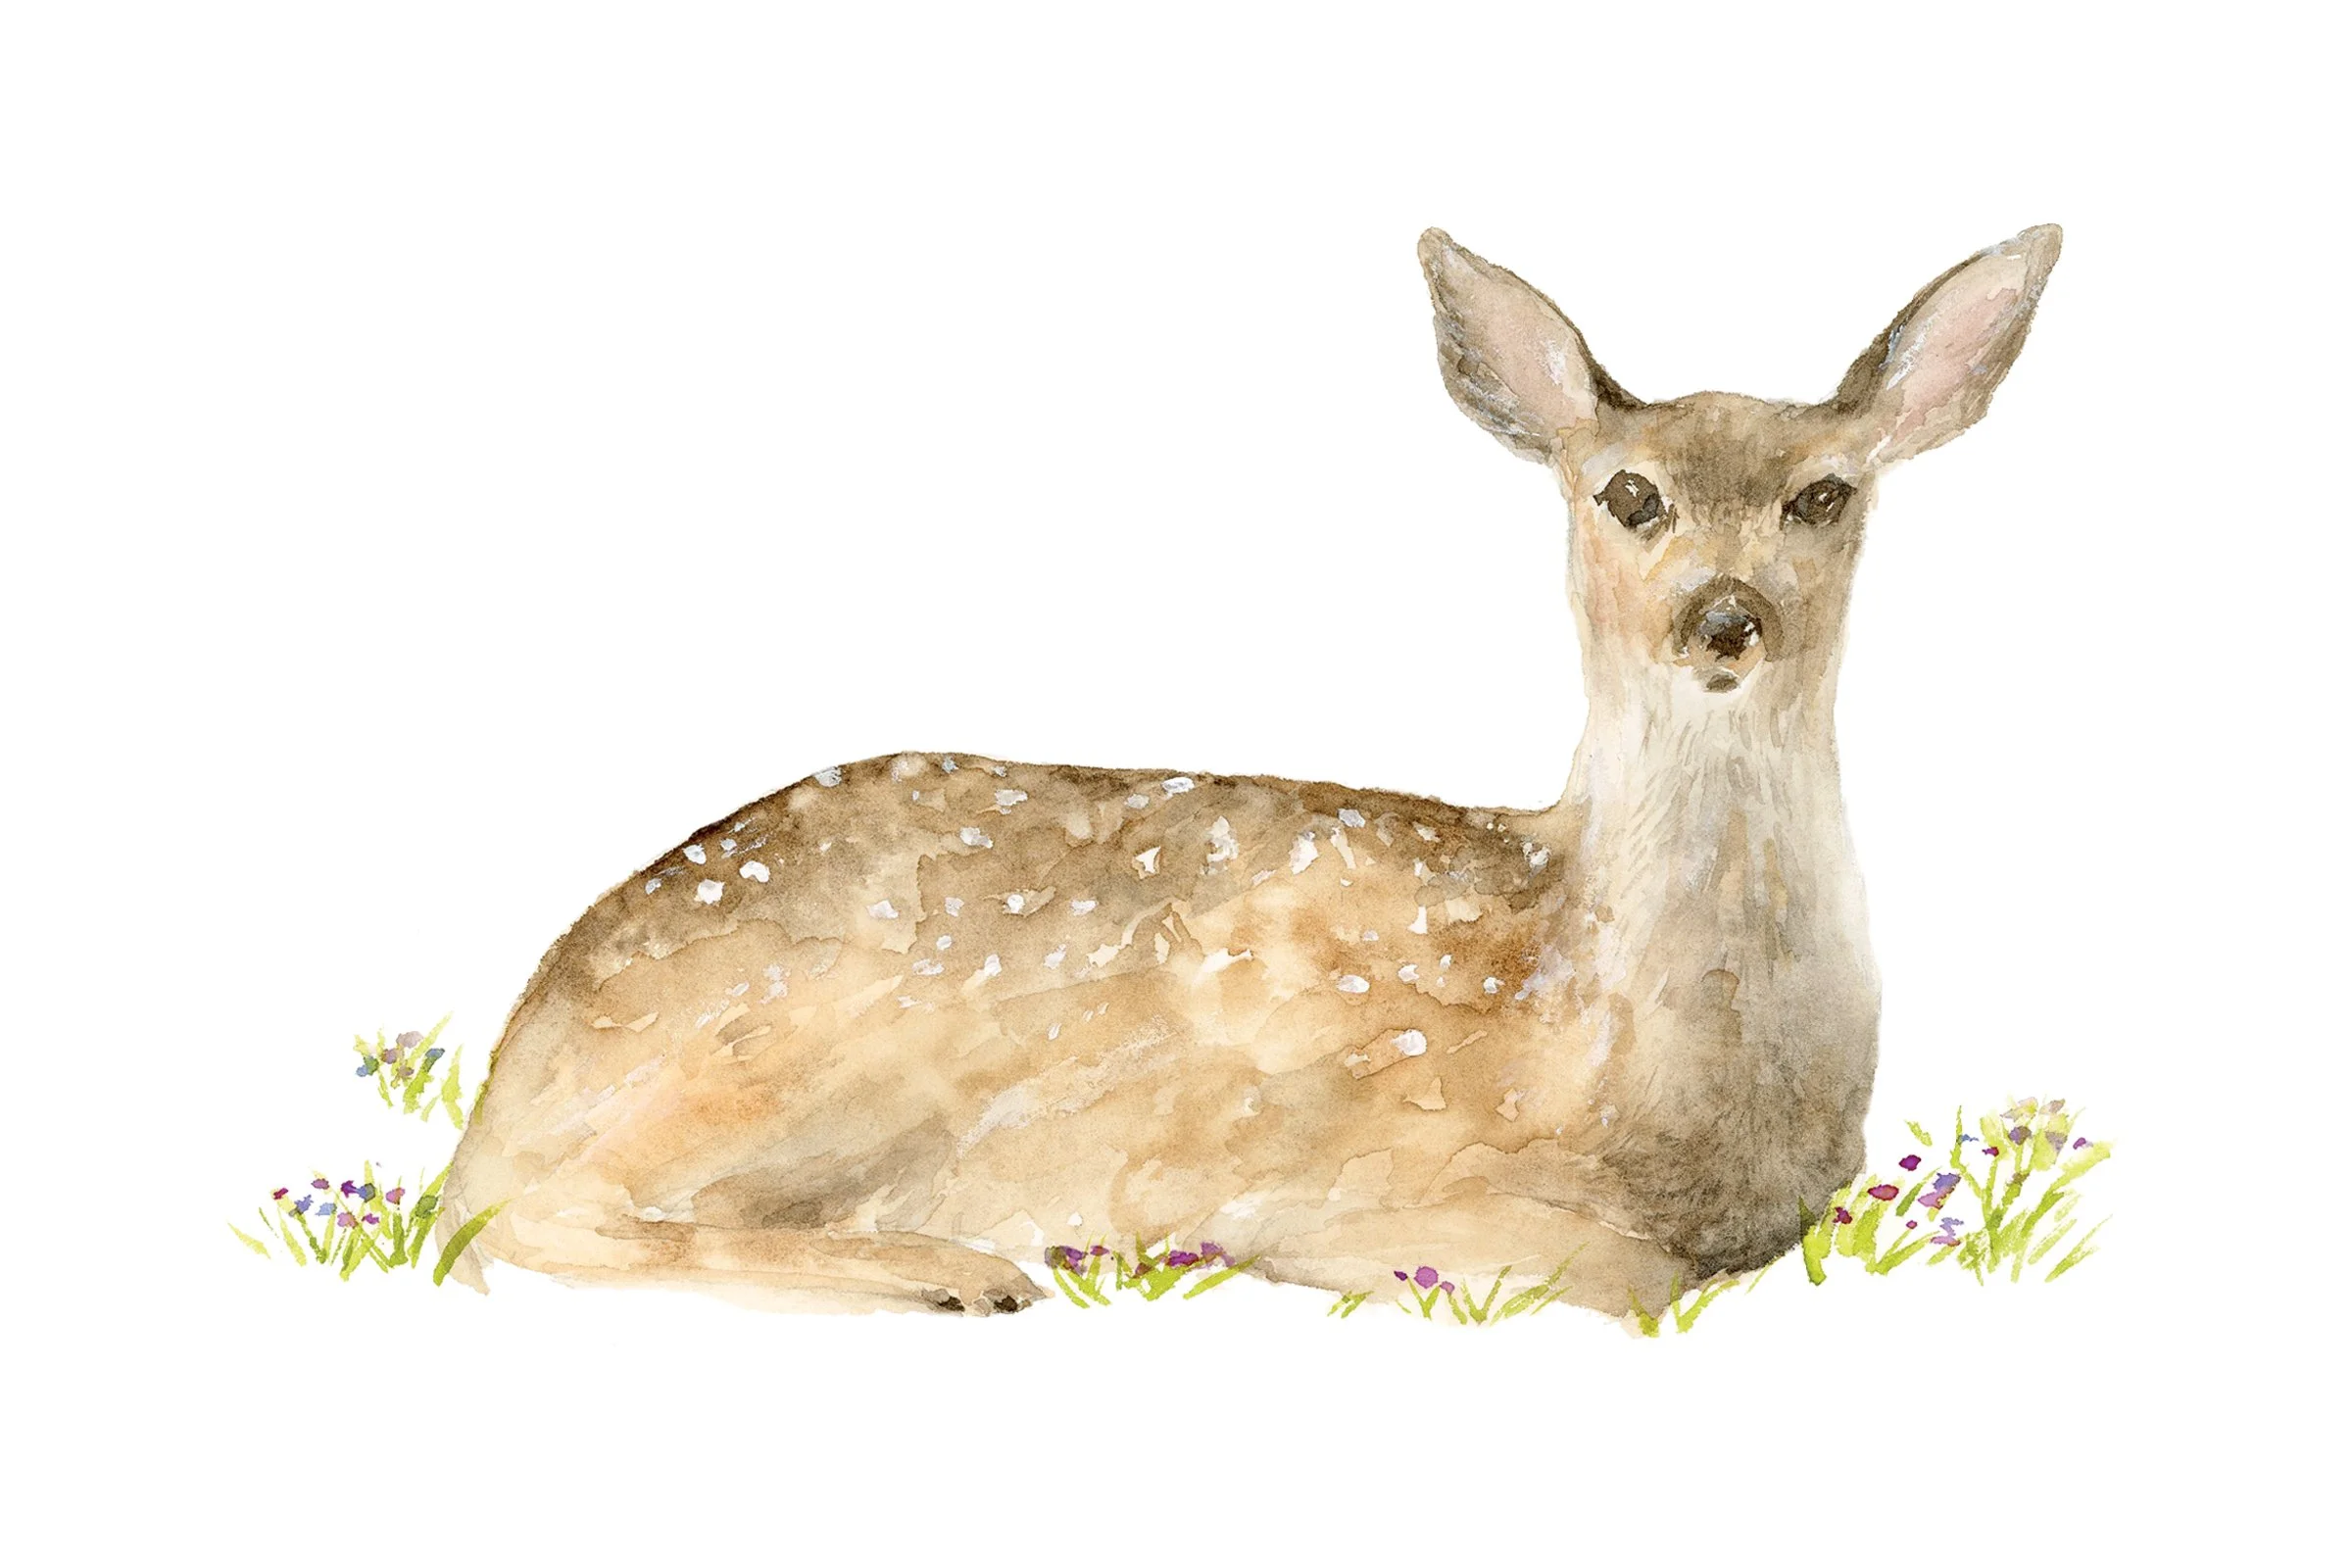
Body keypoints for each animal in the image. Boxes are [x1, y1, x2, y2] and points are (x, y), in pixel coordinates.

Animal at [437, 224, 2060, 1317]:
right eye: (1630, 495)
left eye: (1824, 495)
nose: (1725, 618)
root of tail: (520, 1048)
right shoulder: (1377, 1186)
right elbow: (1618, 1277)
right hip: (814, 1036)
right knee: (521, 1212)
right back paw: (956, 1269)